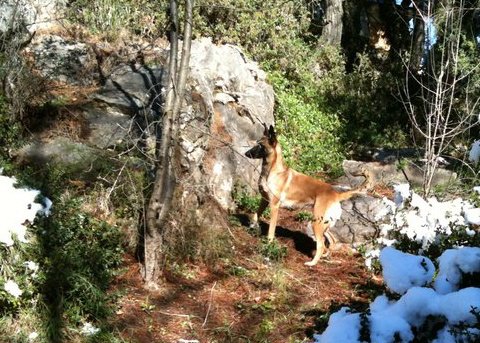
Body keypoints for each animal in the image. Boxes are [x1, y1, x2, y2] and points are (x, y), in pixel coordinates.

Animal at [246, 125, 370, 268]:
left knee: (321, 245)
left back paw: (312, 263)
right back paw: (325, 256)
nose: (246, 154)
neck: (272, 171)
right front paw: (252, 225)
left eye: (260, 145)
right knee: (331, 242)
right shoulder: (264, 200)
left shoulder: (274, 206)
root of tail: (336, 194)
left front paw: (269, 244)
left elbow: (271, 230)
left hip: (316, 223)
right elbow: (256, 214)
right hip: (324, 225)